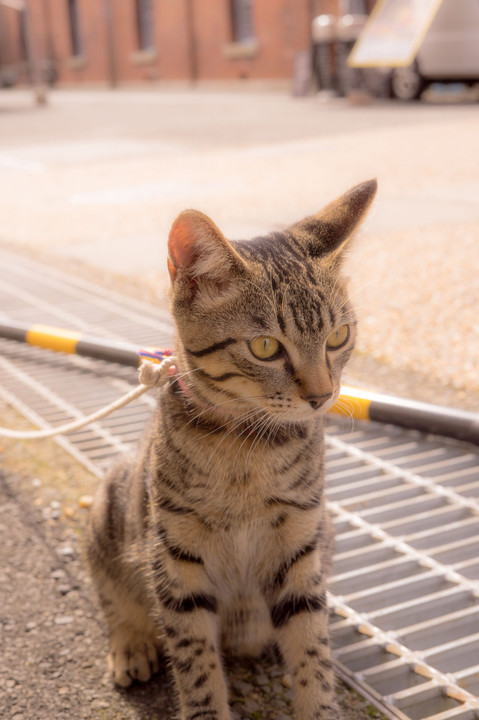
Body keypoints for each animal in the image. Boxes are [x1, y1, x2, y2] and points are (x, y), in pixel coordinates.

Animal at [86, 177, 378, 716]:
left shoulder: (299, 544)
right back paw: (131, 644)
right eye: (265, 347)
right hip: (110, 509)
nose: (321, 395)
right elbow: (195, 661)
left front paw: (318, 703)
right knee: (113, 594)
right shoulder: (176, 558)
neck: (249, 445)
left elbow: (312, 647)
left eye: (339, 337)